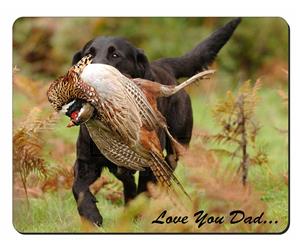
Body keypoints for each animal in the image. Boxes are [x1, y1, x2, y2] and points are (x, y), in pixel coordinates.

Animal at [70, 16, 241, 226]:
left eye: (116, 55)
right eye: (88, 55)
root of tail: (165, 65)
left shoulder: (151, 162)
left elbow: (144, 191)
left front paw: (136, 217)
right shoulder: (86, 162)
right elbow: (78, 187)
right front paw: (91, 215)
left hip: (177, 147)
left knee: (161, 172)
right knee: (127, 181)